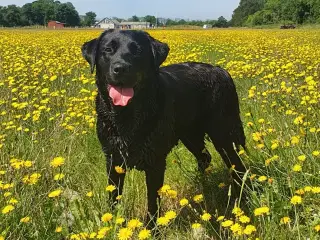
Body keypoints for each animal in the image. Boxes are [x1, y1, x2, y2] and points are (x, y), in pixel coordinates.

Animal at [81, 29, 246, 225]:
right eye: (108, 49)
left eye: (137, 51)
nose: (121, 68)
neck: (127, 117)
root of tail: (221, 70)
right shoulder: (113, 159)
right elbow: (113, 196)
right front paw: (113, 222)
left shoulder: (155, 162)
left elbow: (153, 202)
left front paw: (151, 227)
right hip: (190, 135)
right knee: (205, 157)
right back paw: (201, 185)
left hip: (222, 134)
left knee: (238, 165)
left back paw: (242, 197)